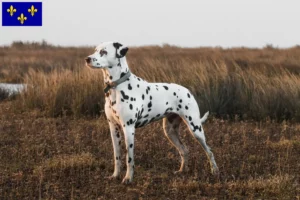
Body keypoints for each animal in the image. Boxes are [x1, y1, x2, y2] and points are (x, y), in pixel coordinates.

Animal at [85, 41, 219, 184]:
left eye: (103, 52)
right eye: (95, 50)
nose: (87, 59)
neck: (117, 87)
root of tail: (188, 91)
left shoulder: (129, 128)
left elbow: (129, 159)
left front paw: (128, 178)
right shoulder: (113, 128)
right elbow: (117, 156)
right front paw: (115, 175)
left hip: (195, 129)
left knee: (209, 151)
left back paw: (215, 171)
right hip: (170, 132)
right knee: (184, 150)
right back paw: (182, 171)